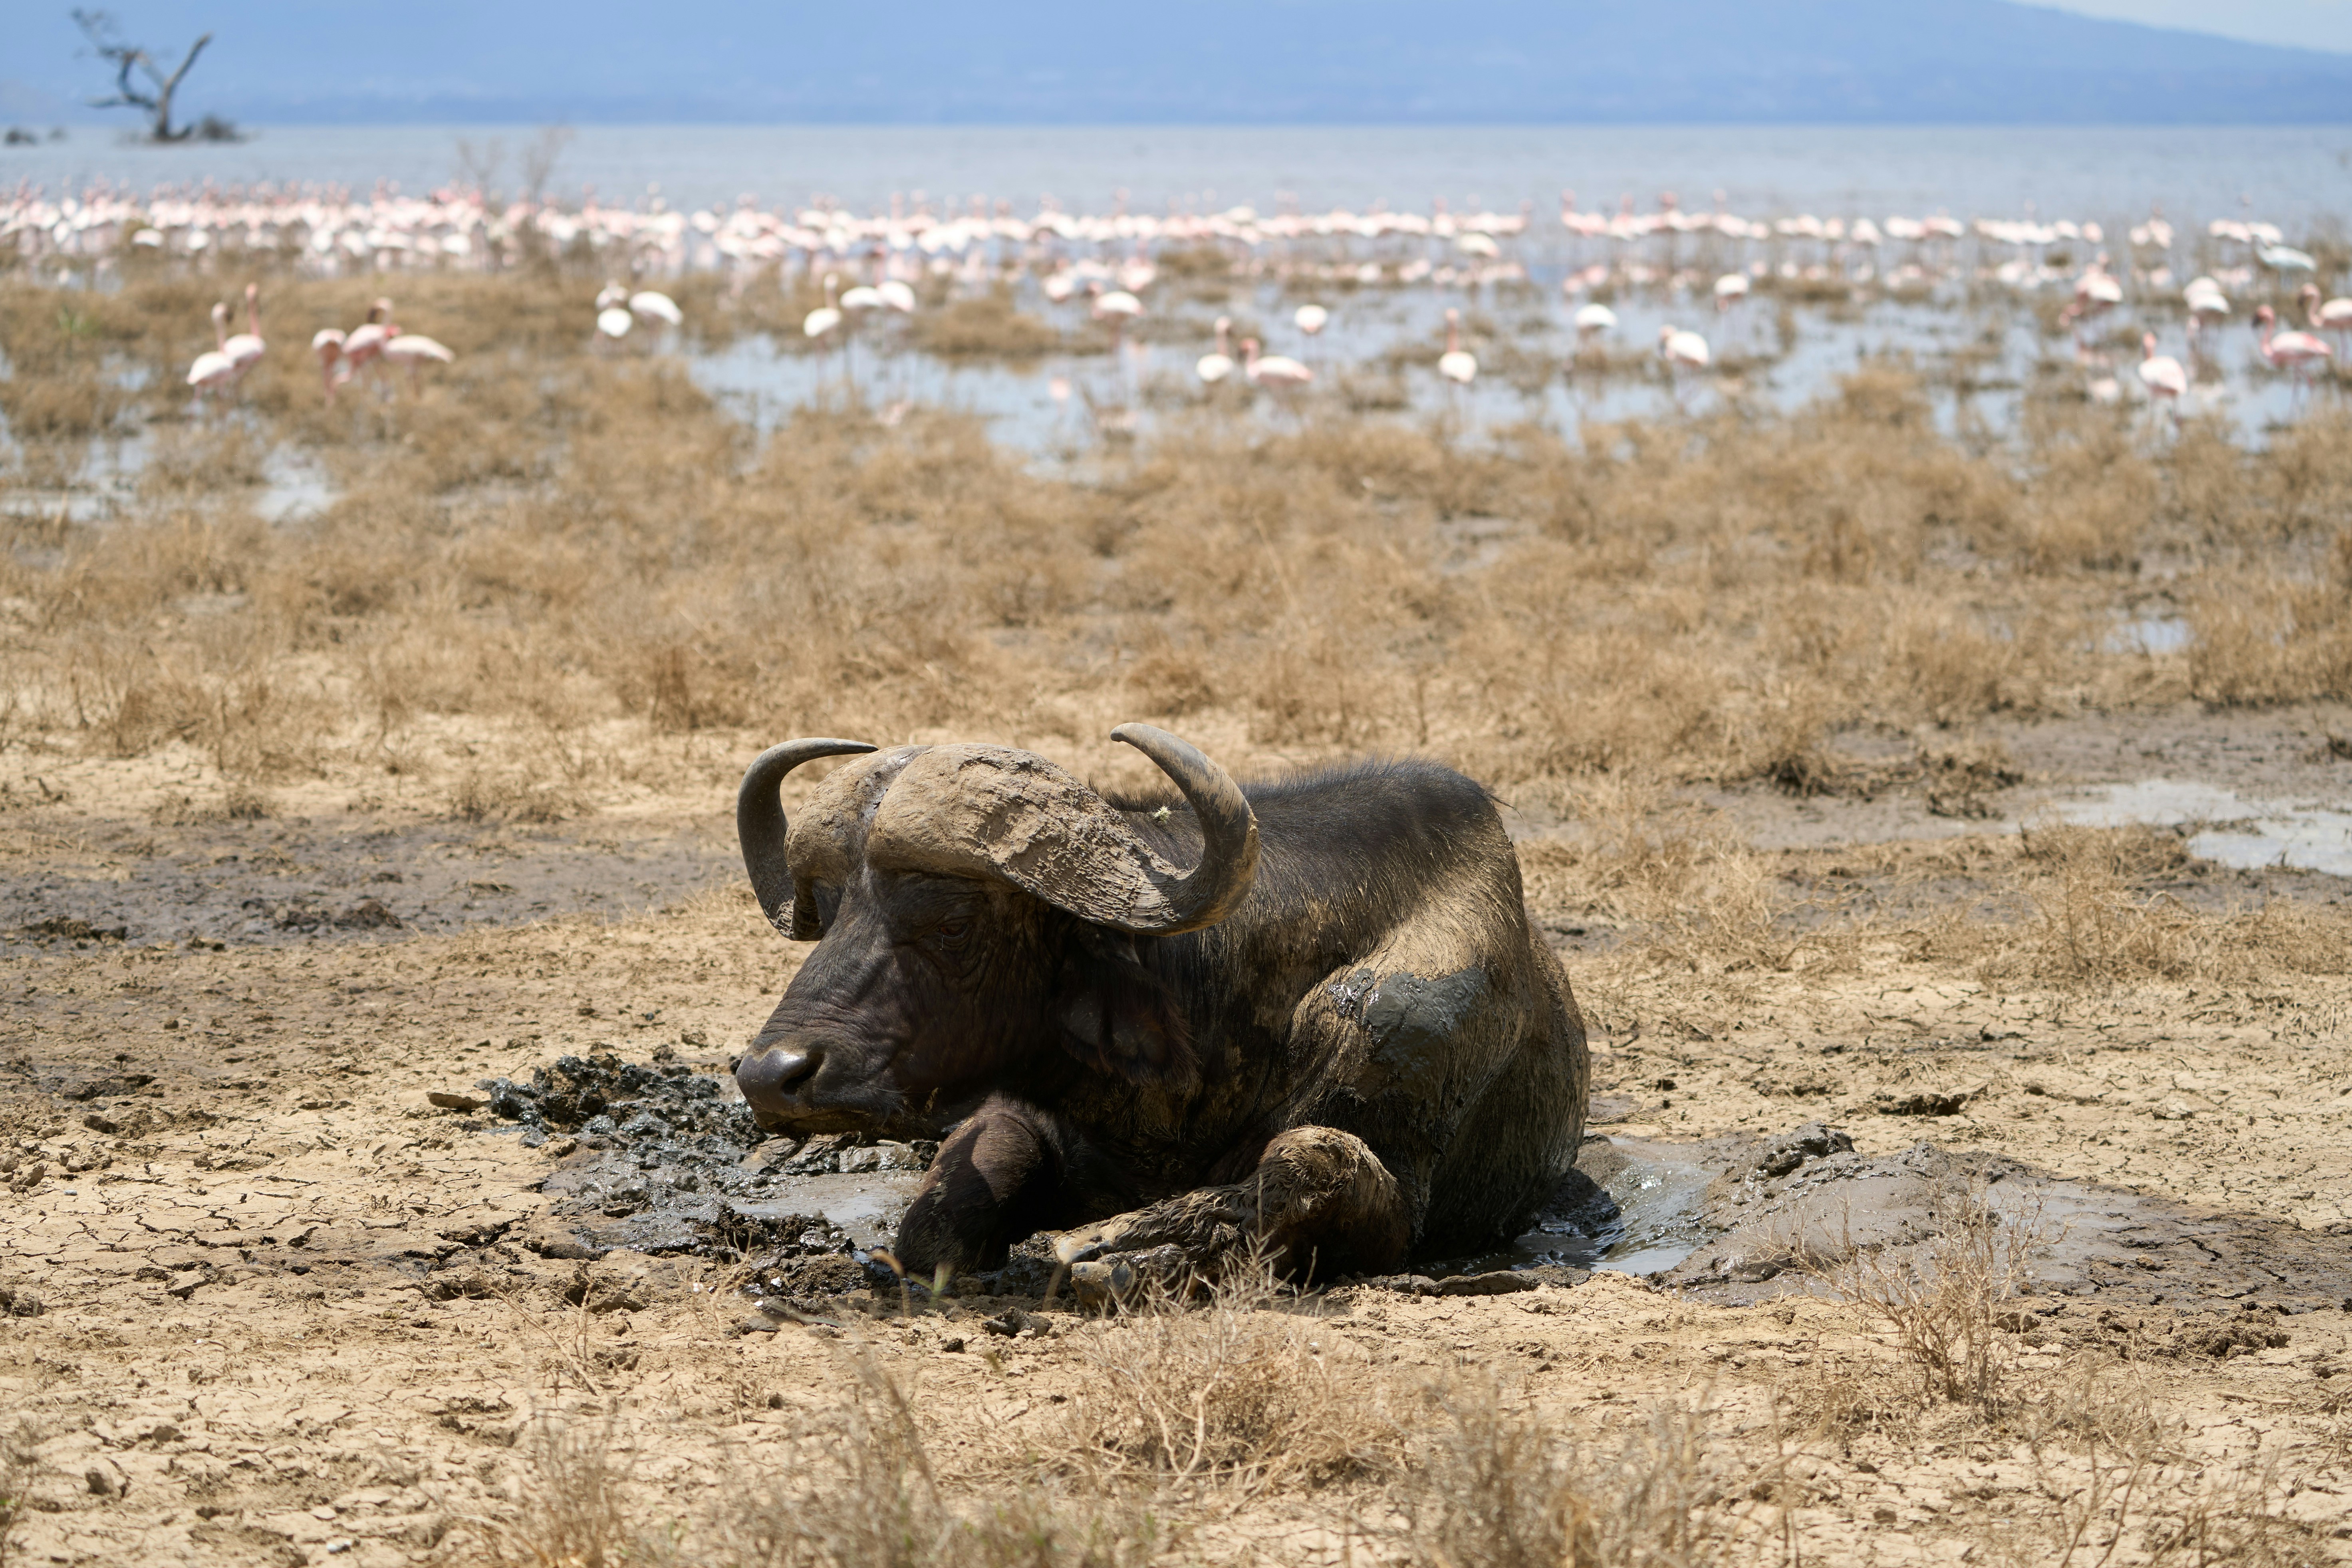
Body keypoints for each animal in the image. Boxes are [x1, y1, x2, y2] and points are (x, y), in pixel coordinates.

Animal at [732, 724, 1588, 1292]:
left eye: (951, 922)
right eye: (830, 911)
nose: (771, 1074)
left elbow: (1304, 1158)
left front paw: (1126, 1247)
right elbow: (935, 1222)